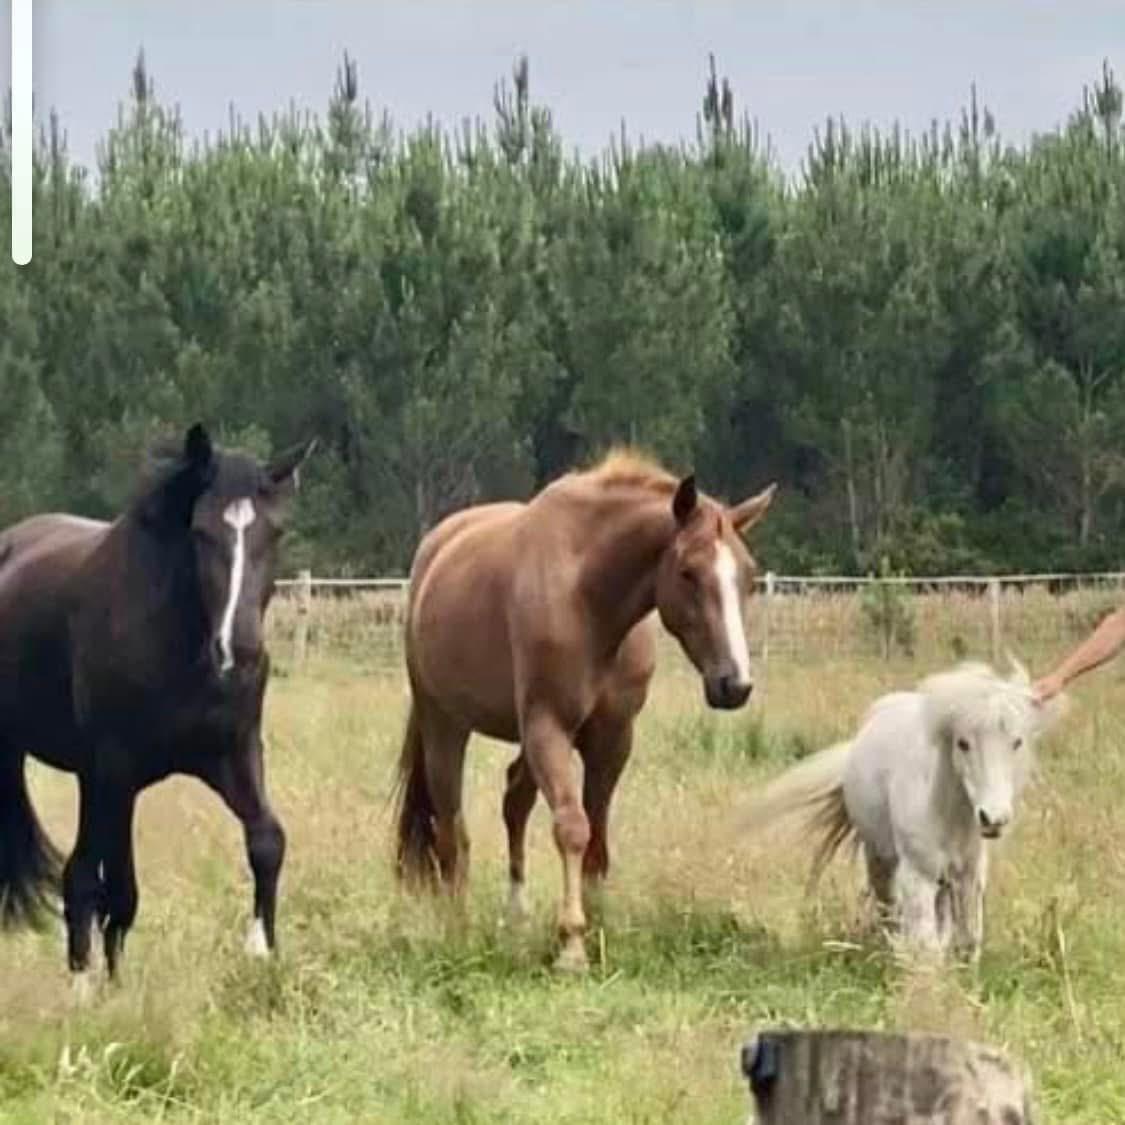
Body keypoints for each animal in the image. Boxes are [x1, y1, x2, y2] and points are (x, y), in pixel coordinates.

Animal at [0, 423, 314, 987]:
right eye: (202, 533)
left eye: (275, 533)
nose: (240, 651)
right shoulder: (115, 770)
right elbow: (106, 886)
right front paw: (91, 989)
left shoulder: (233, 754)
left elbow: (267, 840)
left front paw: (260, 952)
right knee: (84, 874)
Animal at [393, 450, 776, 970]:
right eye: (688, 572)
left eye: (749, 576)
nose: (733, 684)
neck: (590, 598)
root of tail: (435, 551)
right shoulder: (548, 725)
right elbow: (573, 828)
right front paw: (571, 944)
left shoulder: (612, 738)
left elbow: (597, 838)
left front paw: (598, 927)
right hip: (445, 725)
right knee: (452, 830)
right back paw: (458, 928)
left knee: (513, 800)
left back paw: (517, 915)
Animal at [738, 660, 1066, 960]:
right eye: (963, 743)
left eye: (1016, 742)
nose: (993, 818)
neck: (947, 813)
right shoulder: (917, 877)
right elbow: (926, 947)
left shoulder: (969, 876)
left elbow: (967, 941)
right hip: (880, 859)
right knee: (889, 912)